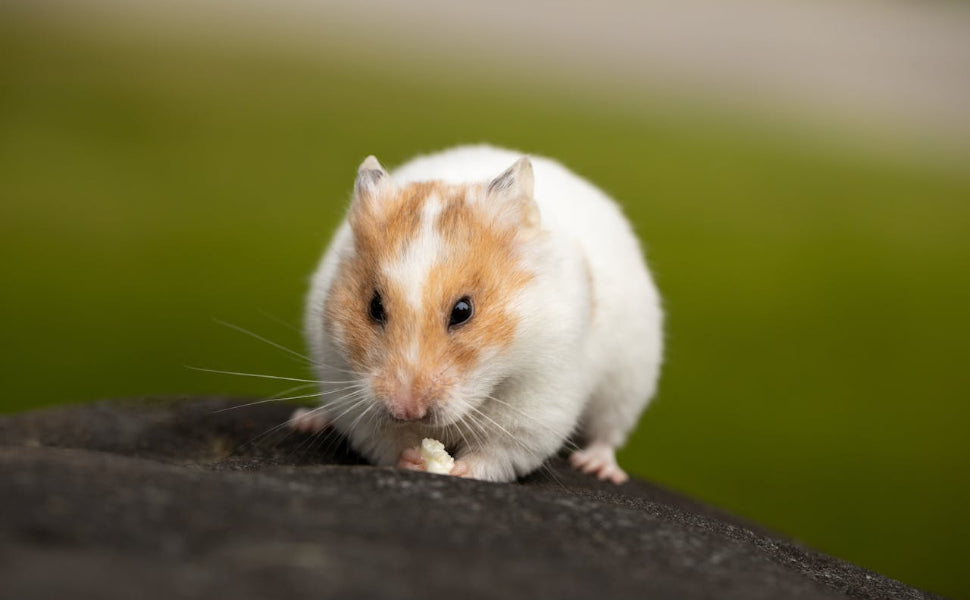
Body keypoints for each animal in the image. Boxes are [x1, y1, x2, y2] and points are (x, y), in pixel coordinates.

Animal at [299, 145, 663, 483]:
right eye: (374, 306)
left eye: (463, 311)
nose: (408, 410)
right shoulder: (348, 390)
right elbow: (385, 443)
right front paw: (415, 459)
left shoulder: (536, 406)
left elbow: (495, 453)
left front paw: (458, 470)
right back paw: (309, 421)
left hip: (628, 382)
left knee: (608, 433)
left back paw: (598, 467)